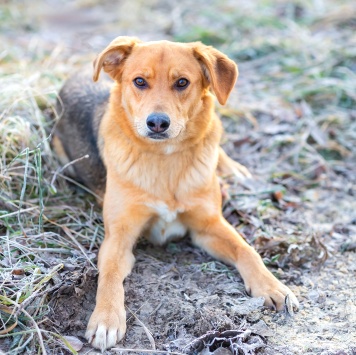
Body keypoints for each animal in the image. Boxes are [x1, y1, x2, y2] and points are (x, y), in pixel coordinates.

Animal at [53, 36, 298, 350]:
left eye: (182, 82)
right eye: (139, 81)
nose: (157, 122)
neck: (165, 159)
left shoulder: (207, 226)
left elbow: (247, 250)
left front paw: (271, 285)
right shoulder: (119, 236)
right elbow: (108, 274)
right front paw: (106, 318)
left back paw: (233, 169)